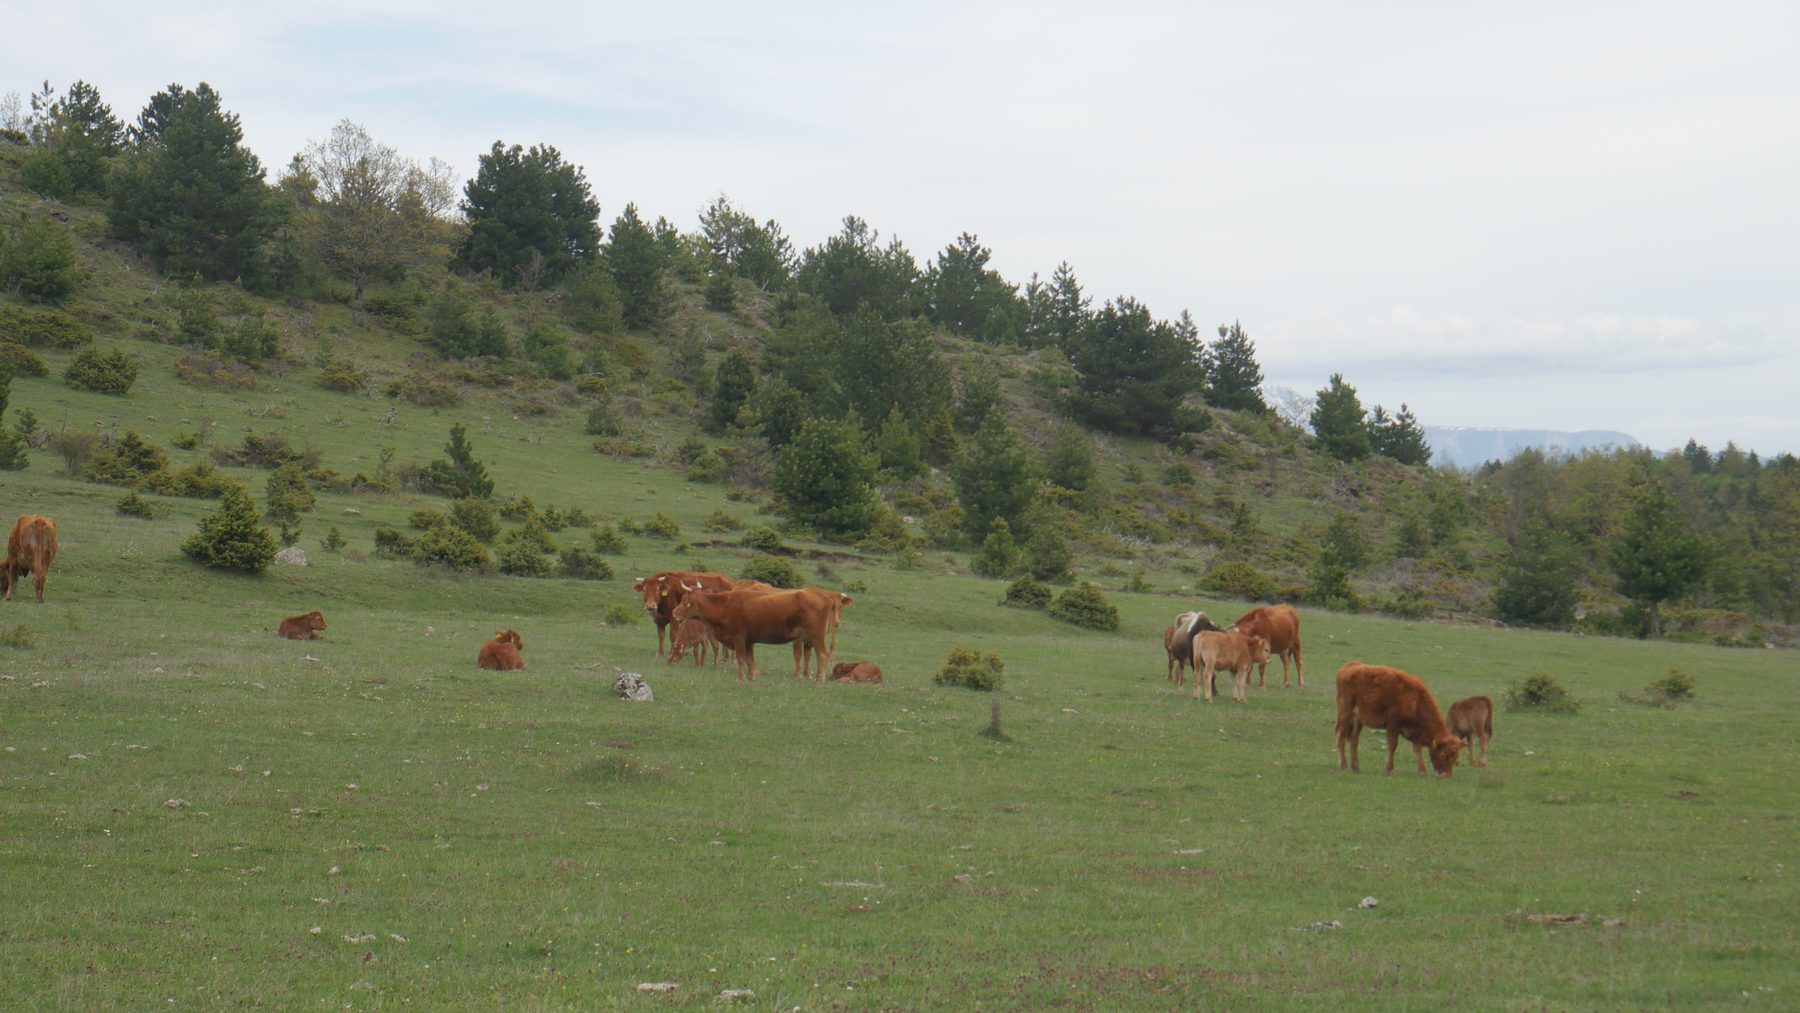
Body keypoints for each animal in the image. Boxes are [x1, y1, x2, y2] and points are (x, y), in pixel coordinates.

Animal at [670, 586, 839, 682]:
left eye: (685, 602)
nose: (674, 612)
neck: (725, 605)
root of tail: (826, 595)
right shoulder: (749, 641)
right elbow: (750, 661)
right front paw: (751, 678)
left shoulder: (738, 637)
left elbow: (740, 659)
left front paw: (740, 678)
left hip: (817, 637)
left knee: (822, 655)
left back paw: (819, 680)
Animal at [1334, 662, 1464, 777]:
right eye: (1443, 755)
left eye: (1454, 758)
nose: (1445, 775)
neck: (1416, 701)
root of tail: (1350, 666)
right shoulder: (1393, 725)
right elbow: (1392, 745)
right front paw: (1389, 769)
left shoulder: (1415, 731)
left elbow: (1417, 749)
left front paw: (1422, 771)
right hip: (1345, 712)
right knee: (1341, 736)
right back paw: (1343, 766)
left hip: (1358, 719)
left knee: (1354, 740)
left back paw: (1356, 768)